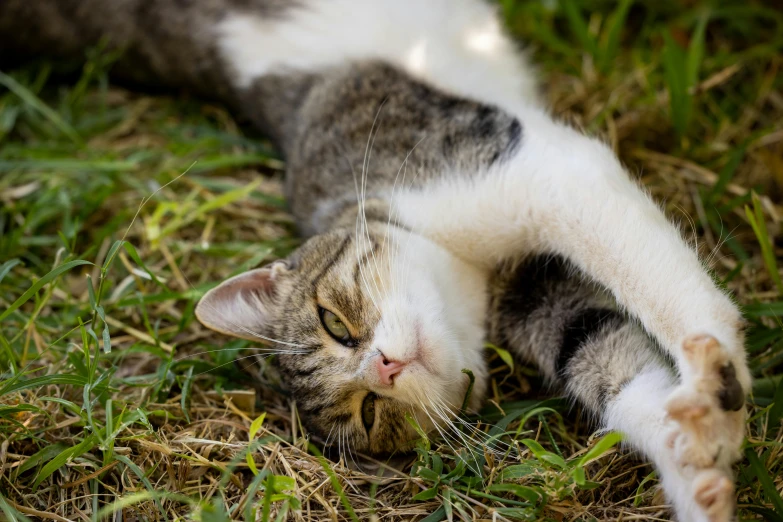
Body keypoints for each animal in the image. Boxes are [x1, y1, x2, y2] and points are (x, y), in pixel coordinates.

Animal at [0, 2, 752, 516]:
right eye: (368, 413)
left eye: (335, 323)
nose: (384, 367)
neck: (465, 277)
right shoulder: (536, 296)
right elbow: (610, 366)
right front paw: (697, 466)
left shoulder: (526, 168)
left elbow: (662, 289)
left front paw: (713, 371)